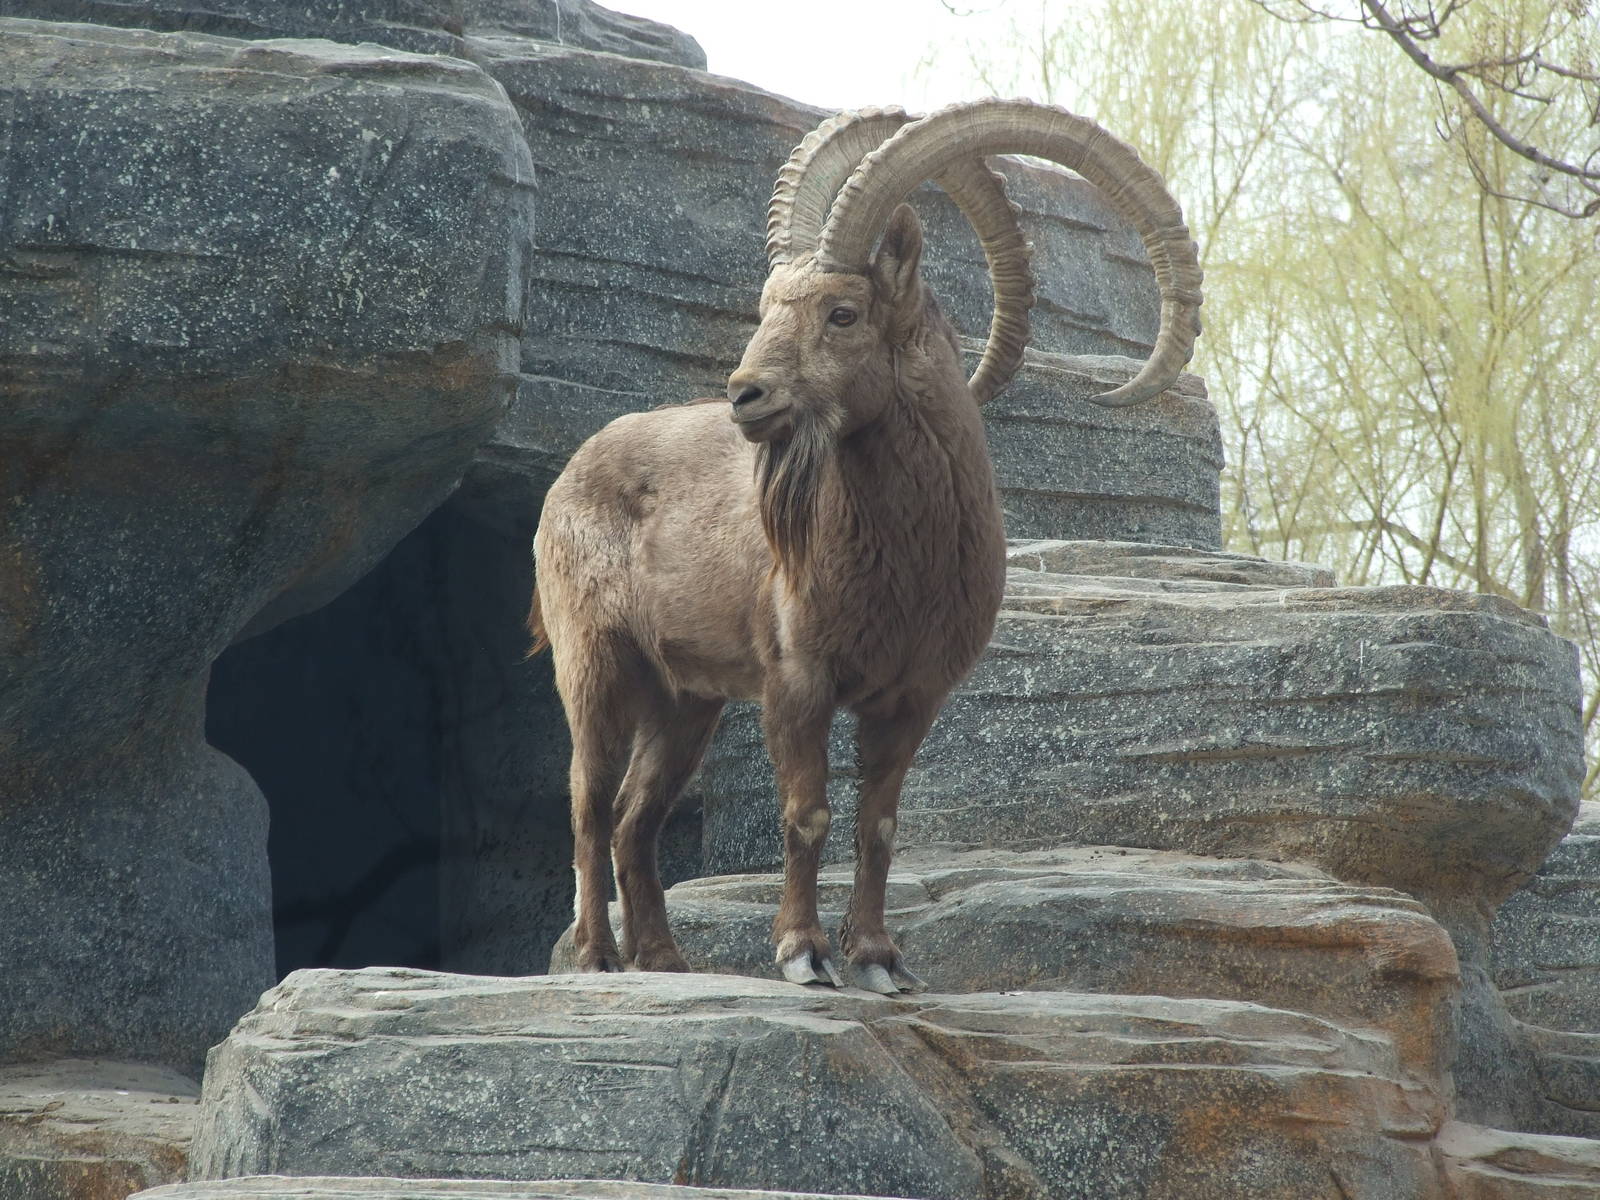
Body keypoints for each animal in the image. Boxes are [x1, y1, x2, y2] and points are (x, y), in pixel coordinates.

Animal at [531, 99, 1202, 993]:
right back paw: (599, 959)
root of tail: (569, 475)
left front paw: (882, 961)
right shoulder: (798, 682)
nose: (746, 395)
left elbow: (878, 826)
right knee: (589, 804)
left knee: (637, 817)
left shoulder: (911, 697)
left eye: (841, 313)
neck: (906, 561)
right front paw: (804, 954)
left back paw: (666, 962)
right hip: (596, 664)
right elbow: (807, 815)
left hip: (687, 701)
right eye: (767, 308)